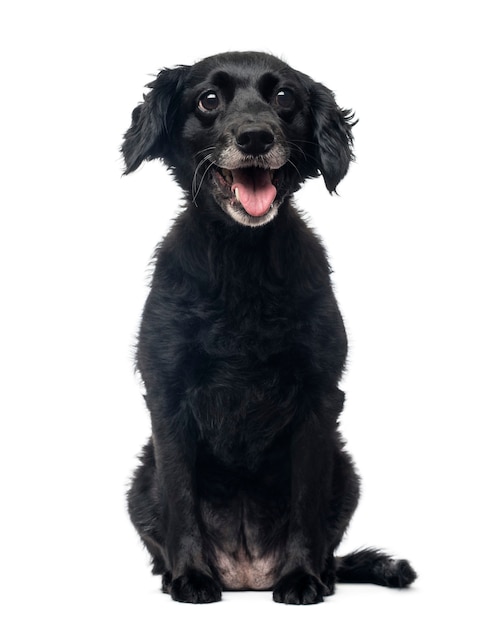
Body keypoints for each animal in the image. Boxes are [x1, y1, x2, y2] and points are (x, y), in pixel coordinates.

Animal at [122, 51, 418, 604]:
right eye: (208, 100)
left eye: (284, 98)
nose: (256, 137)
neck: (242, 262)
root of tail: (246, 575)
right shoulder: (166, 395)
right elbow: (181, 497)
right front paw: (191, 576)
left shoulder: (319, 398)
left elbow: (306, 501)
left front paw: (300, 578)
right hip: (139, 482)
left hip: (347, 472)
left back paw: (320, 573)